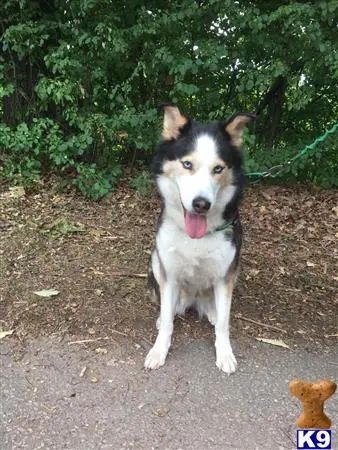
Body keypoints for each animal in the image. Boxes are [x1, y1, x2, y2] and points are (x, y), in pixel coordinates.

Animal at [145, 104, 254, 372]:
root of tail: (193, 301)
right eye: (187, 164)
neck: (196, 236)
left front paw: (225, 353)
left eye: (218, 168)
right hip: (155, 260)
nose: (201, 204)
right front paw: (159, 350)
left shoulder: (226, 275)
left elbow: (224, 323)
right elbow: (167, 321)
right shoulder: (169, 273)